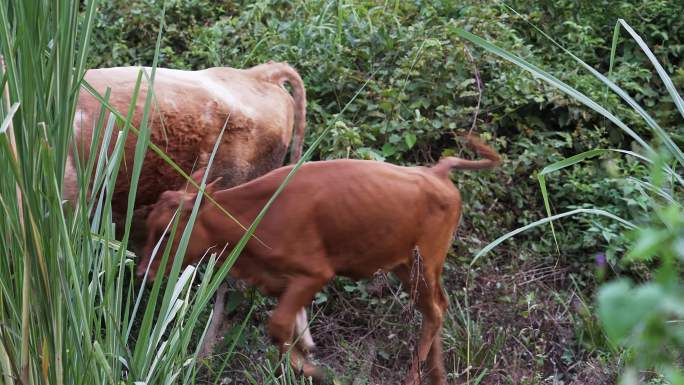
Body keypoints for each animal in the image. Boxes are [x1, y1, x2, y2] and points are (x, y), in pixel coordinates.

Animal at [140, 136, 502, 384]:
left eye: (168, 232)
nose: (144, 272)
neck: (256, 214)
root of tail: (437, 172)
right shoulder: (282, 282)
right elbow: (291, 333)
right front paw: (306, 356)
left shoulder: (314, 274)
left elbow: (278, 326)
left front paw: (315, 370)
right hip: (407, 266)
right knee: (437, 309)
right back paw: (437, 376)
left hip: (423, 264)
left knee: (435, 311)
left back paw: (415, 377)